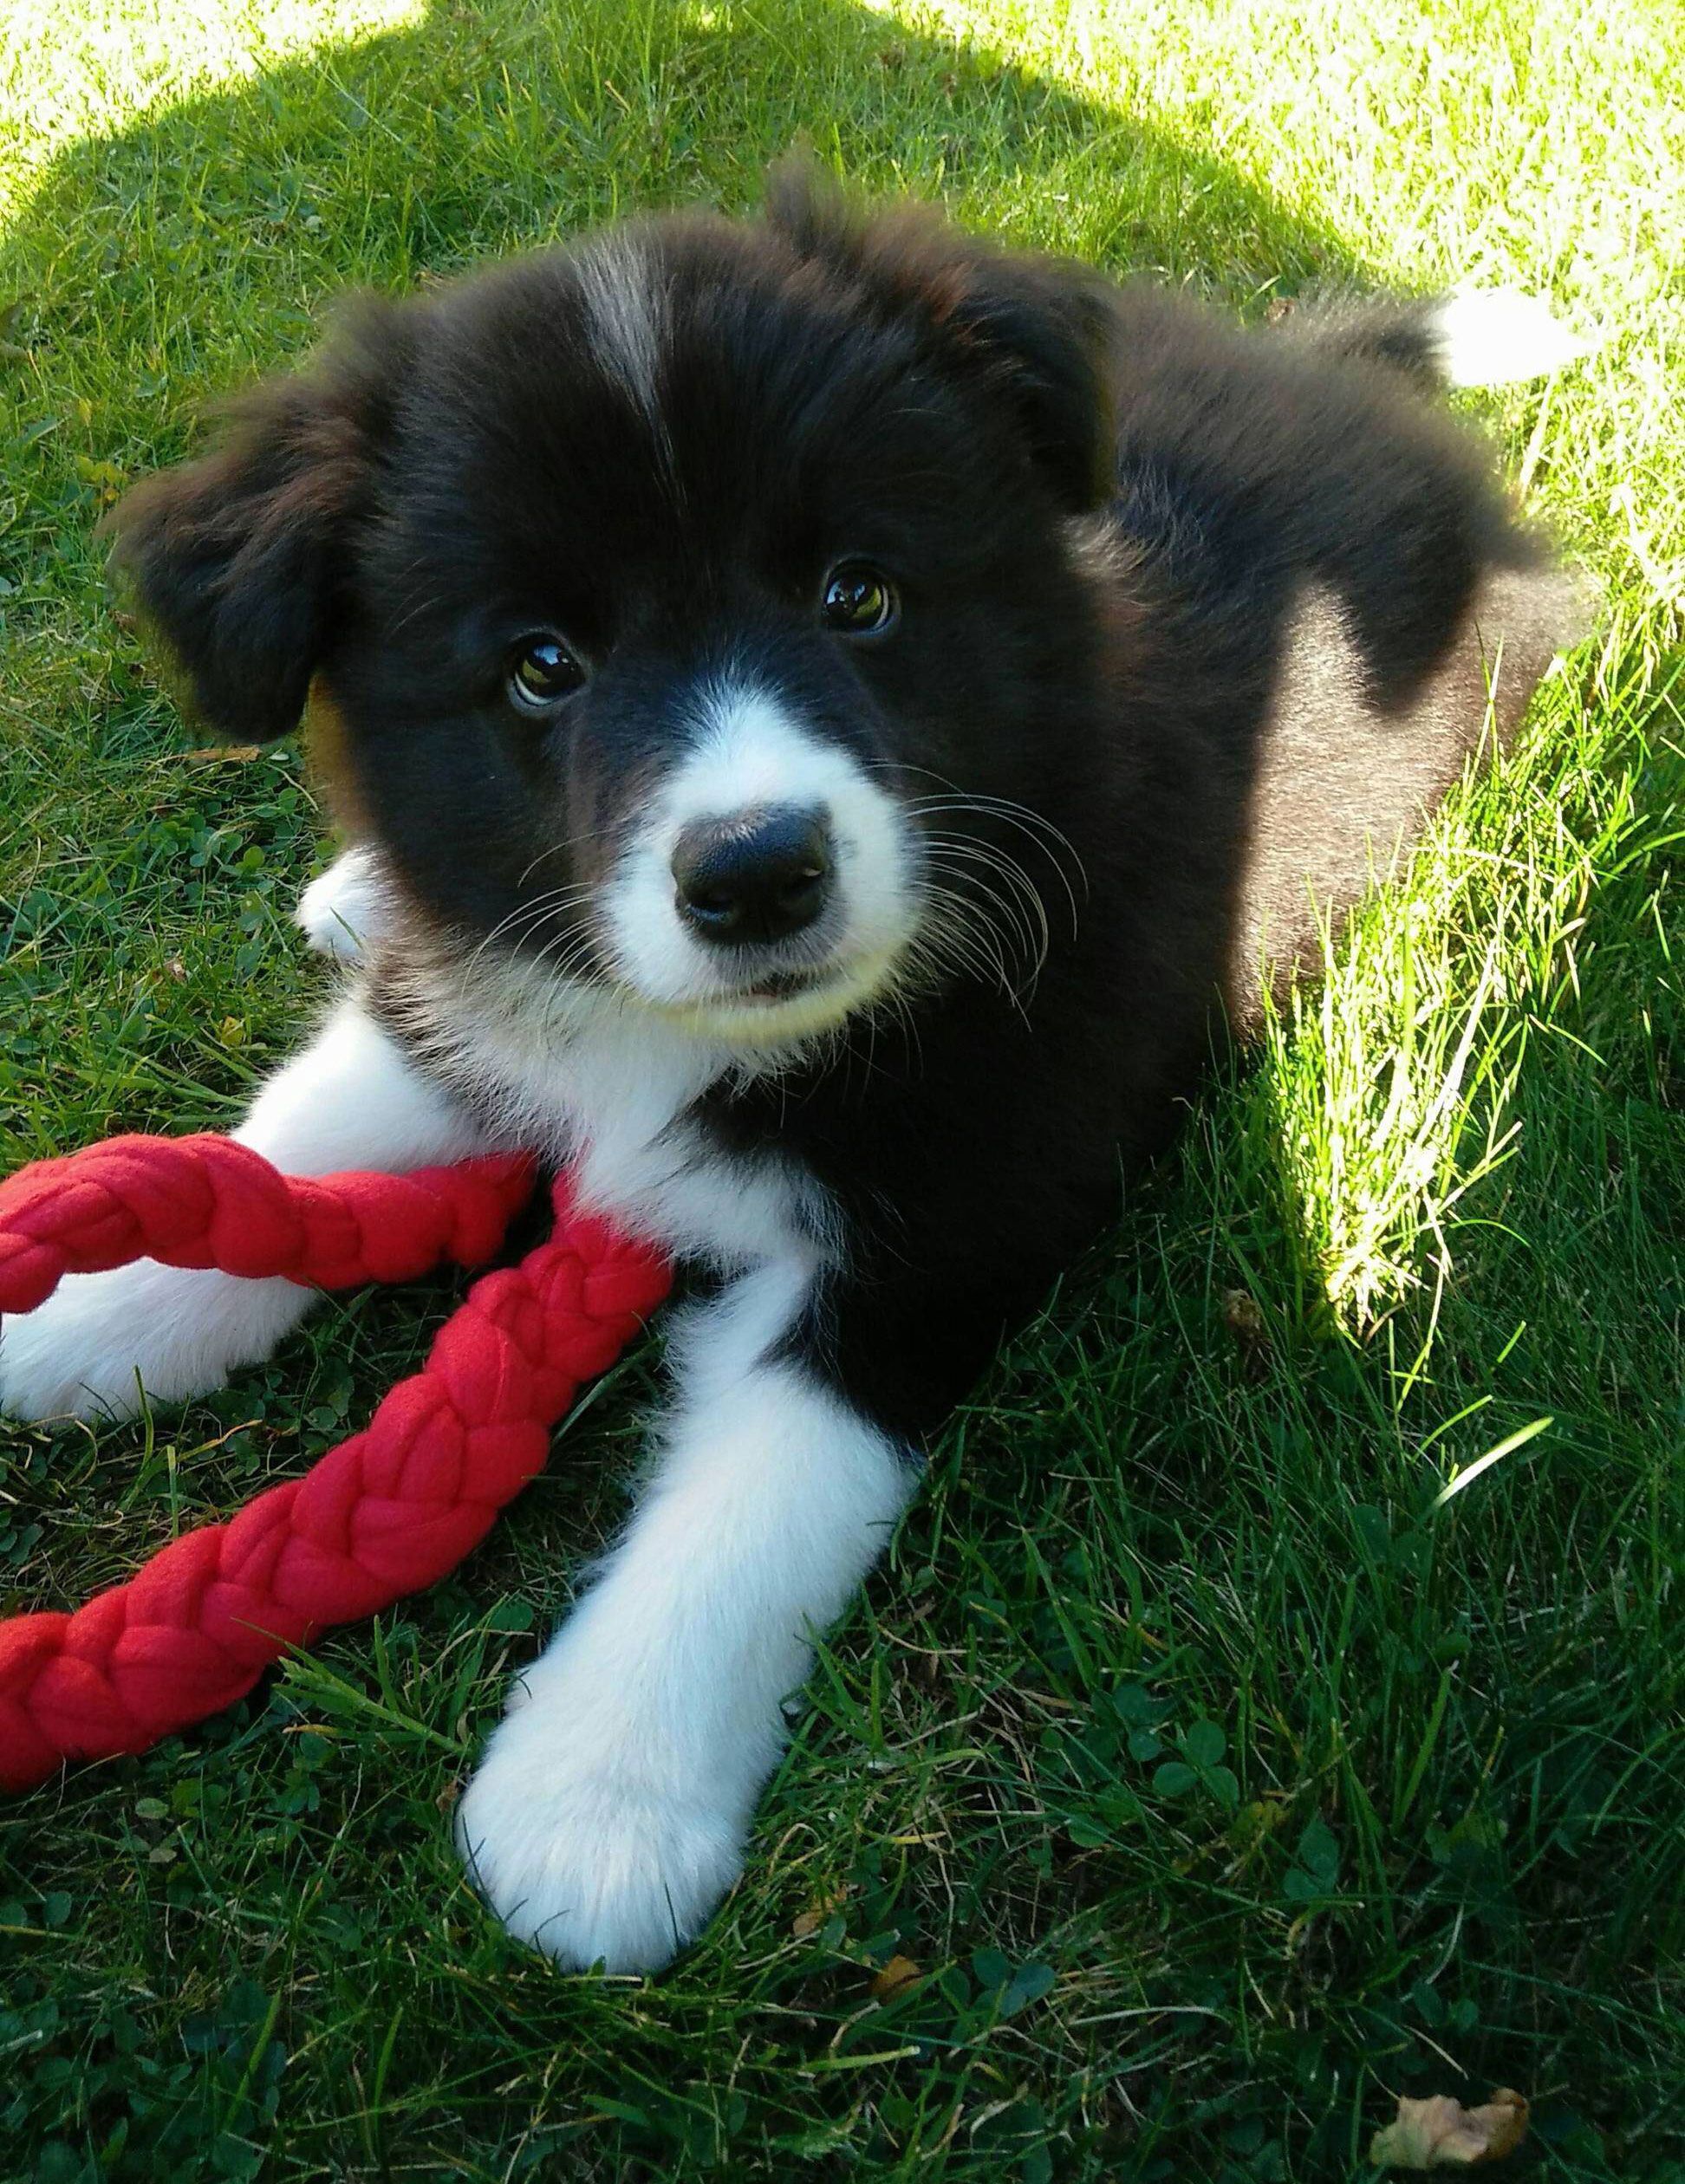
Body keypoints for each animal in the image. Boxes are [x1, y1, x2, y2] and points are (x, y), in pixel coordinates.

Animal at [0, 170, 1591, 1974]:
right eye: (541, 664)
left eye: (856, 596)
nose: (755, 874)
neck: (706, 1040)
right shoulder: (482, 996)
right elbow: (314, 1130)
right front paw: (102, 1303)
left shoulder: (948, 1213)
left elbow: (755, 1498)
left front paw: (597, 1796)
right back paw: (353, 892)